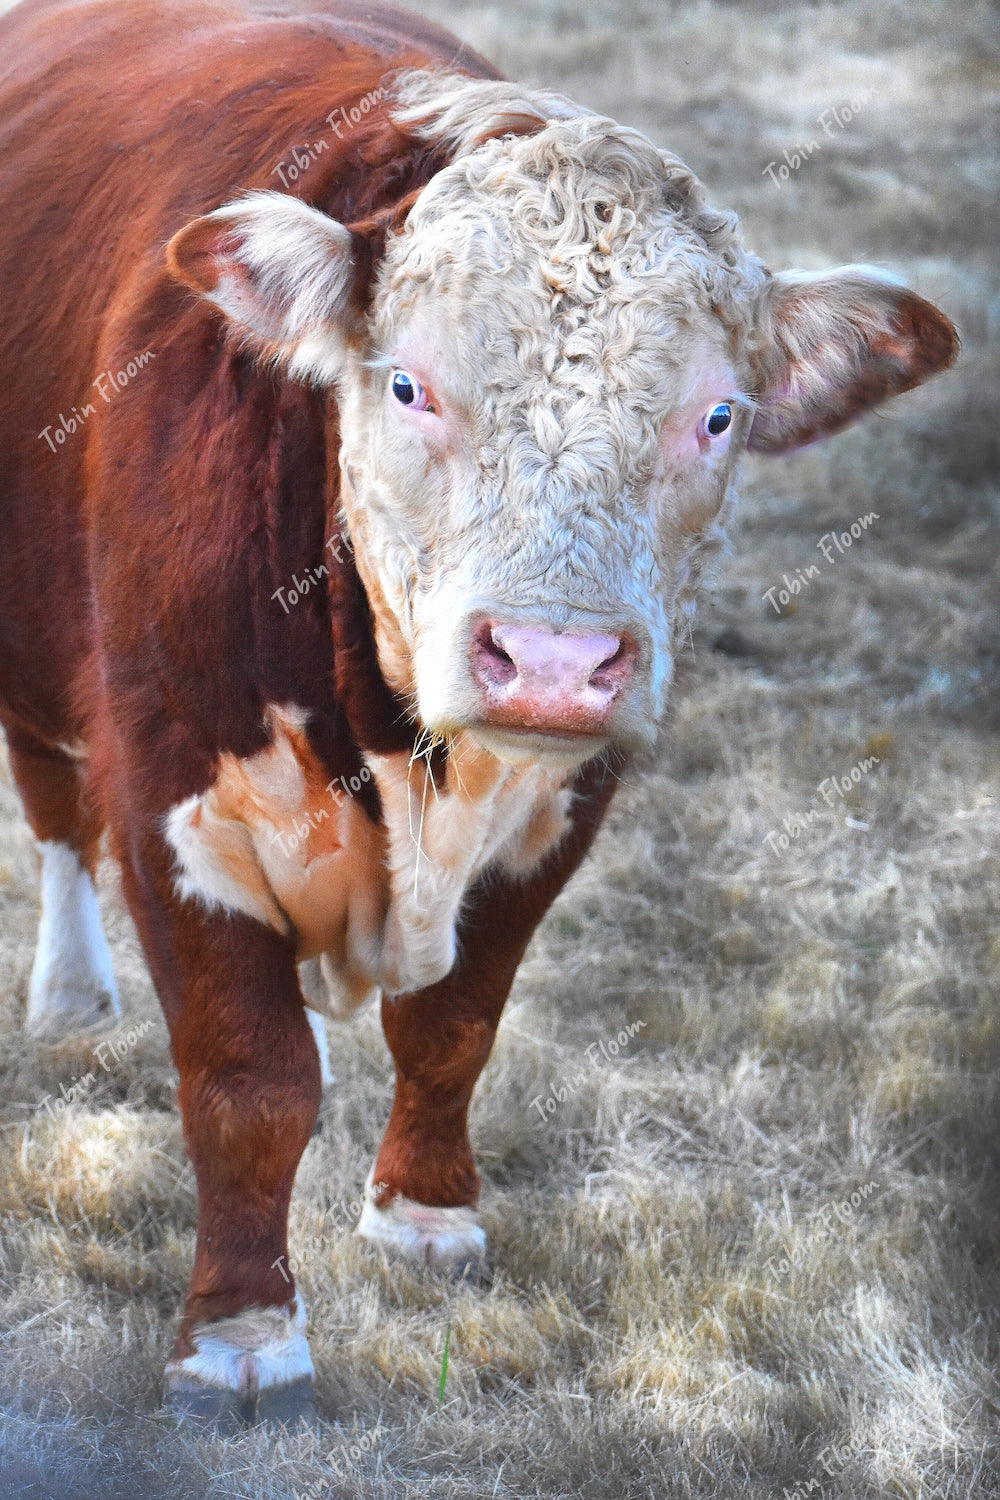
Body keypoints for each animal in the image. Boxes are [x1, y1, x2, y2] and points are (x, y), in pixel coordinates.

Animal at [0, 0, 959, 1428]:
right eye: (407, 386)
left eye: (716, 415)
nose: (552, 657)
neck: (401, 758)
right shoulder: (172, 785)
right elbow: (246, 1076)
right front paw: (241, 1335)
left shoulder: (568, 799)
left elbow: (453, 1025)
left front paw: (424, 1216)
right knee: (53, 798)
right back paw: (69, 992)